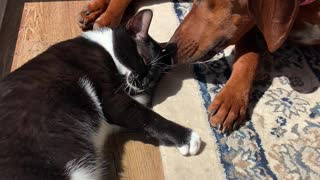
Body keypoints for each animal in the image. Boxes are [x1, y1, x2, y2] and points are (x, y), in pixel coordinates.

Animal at [0, 9, 201, 179]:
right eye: (143, 59)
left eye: (156, 77)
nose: (144, 81)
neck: (107, 49)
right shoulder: (114, 101)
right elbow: (149, 117)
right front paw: (187, 137)